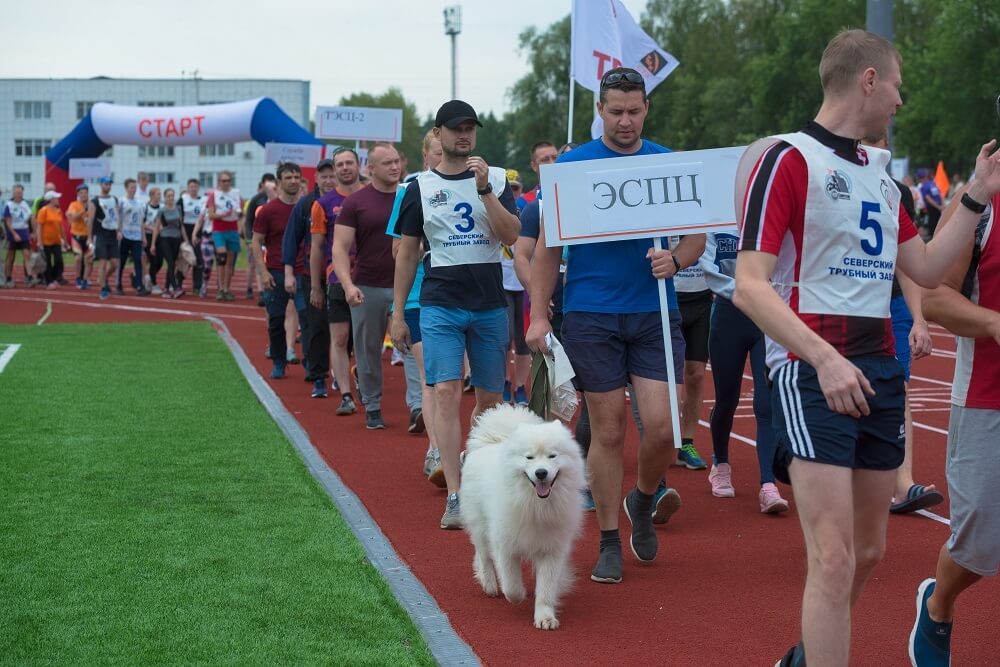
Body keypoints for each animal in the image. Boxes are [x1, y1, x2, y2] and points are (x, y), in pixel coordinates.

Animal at [458, 402, 584, 632]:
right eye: (529, 457)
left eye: (552, 456)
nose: (541, 473)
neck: (536, 505)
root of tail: (493, 440)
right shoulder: (505, 545)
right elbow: (511, 585)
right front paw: (519, 596)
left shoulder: (552, 549)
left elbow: (546, 588)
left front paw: (545, 617)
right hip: (480, 524)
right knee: (483, 554)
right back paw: (489, 584)